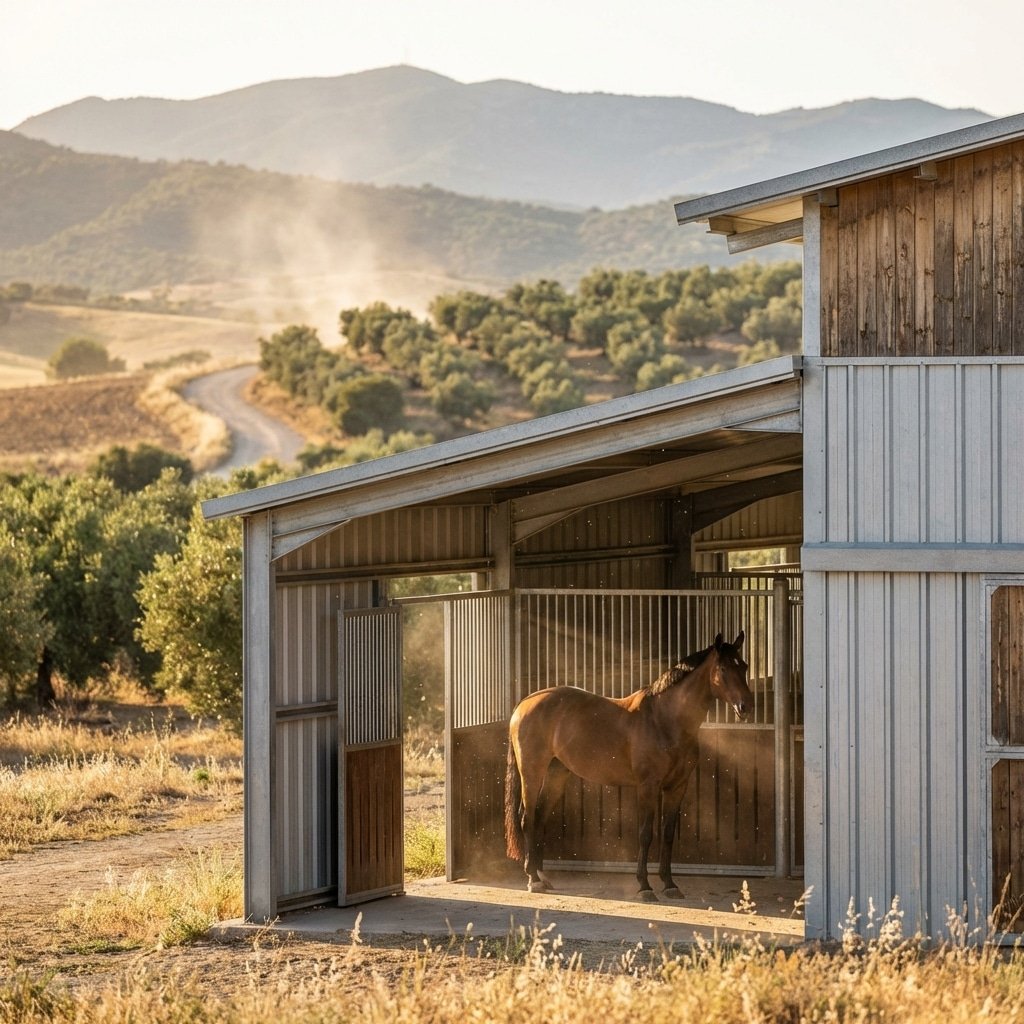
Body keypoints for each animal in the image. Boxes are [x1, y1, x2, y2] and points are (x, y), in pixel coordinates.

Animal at [504, 631, 752, 902]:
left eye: (744, 666)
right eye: (724, 668)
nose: (746, 707)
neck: (664, 720)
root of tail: (524, 704)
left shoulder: (677, 787)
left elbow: (667, 833)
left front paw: (670, 884)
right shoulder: (648, 786)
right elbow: (645, 834)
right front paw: (644, 886)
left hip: (557, 773)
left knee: (539, 817)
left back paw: (541, 876)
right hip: (532, 771)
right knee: (527, 817)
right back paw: (533, 879)